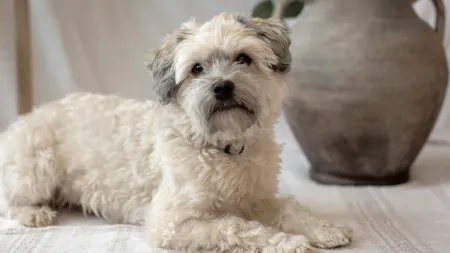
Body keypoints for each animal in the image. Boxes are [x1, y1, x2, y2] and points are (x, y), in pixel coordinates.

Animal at [0, 13, 352, 253]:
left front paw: (323, 229)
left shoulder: (257, 197)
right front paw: (288, 242)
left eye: (243, 58)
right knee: (9, 200)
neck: (224, 147)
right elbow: (237, 226)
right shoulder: (172, 222)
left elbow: (288, 208)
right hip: (37, 167)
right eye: (197, 69)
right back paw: (35, 214)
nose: (222, 87)